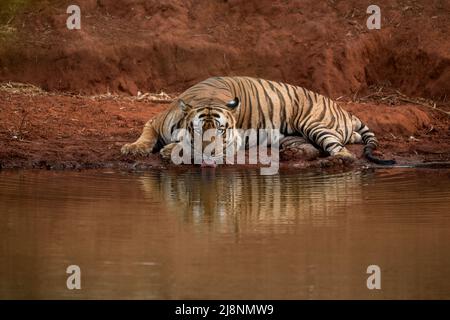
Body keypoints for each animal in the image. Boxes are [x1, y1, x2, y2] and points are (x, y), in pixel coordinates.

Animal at [121, 75, 396, 165]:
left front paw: (169, 150)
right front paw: (133, 148)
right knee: (312, 149)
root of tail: (345, 110)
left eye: (221, 131)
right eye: (198, 131)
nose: (209, 155)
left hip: (314, 123)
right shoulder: (154, 121)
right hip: (291, 137)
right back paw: (292, 156)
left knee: (344, 153)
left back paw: (333, 163)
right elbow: (145, 136)